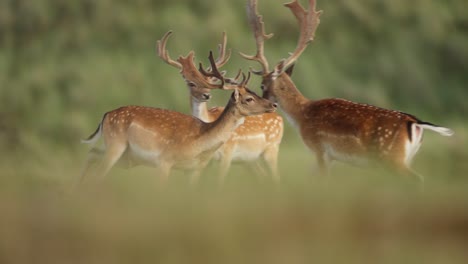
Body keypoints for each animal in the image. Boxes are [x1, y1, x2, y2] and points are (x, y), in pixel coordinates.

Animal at [78, 56, 276, 186]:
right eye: (249, 99)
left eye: (256, 93)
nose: (273, 104)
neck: (199, 141)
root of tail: (106, 115)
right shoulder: (164, 161)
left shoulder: (193, 169)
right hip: (116, 145)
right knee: (97, 172)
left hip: (125, 157)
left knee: (91, 154)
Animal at [157, 30, 284, 184]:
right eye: (191, 83)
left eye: (209, 82)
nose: (206, 95)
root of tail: (280, 118)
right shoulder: (206, 160)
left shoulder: (227, 153)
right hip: (250, 160)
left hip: (271, 150)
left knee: (276, 177)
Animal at [239, 0, 452, 183]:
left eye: (262, 86)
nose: (268, 106)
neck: (301, 116)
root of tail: (415, 122)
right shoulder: (331, 157)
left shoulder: (320, 149)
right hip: (407, 158)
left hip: (391, 158)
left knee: (417, 179)